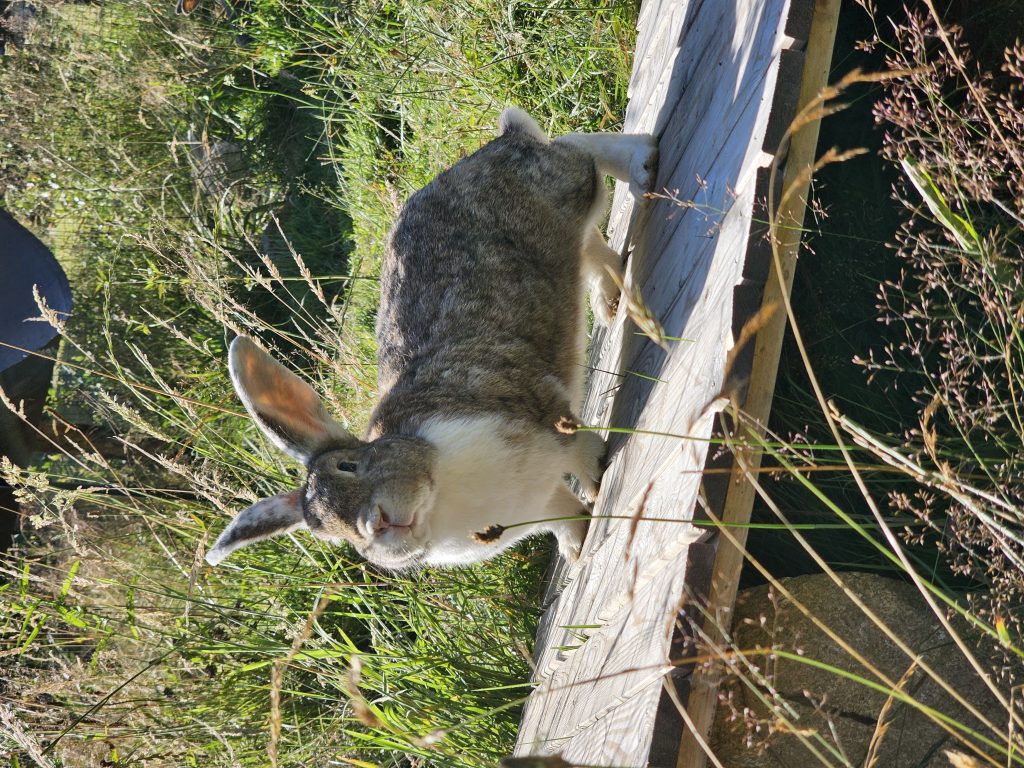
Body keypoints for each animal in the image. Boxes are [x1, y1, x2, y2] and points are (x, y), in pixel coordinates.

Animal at [205, 107, 658, 570]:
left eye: (350, 465)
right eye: (328, 533)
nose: (378, 526)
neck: (438, 490)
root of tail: (498, 142)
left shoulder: (551, 424)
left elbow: (583, 456)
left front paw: (599, 483)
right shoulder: (540, 499)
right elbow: (564, 517)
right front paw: (577, 549)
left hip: (565, 187)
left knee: (581, 152)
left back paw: (641, 167)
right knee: (588, 242)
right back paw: (610, 300)